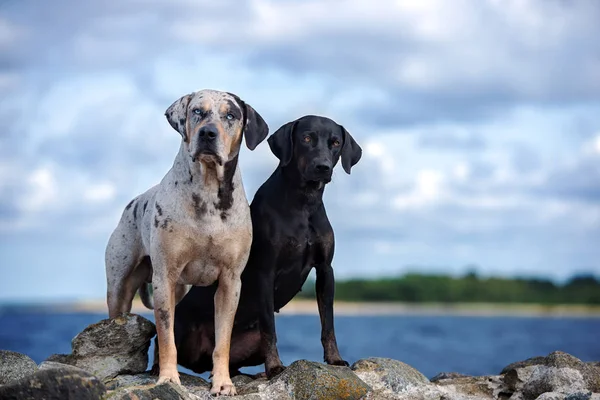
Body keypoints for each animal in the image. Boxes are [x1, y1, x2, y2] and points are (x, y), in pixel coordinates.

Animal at [164, 115, 360, 378]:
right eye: (306, 138)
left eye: (336, 142)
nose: (323, 167)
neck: (303, 203)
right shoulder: (265, 273)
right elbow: (270, 327)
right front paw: (274, 366)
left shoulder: (325, 270)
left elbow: (328, 323)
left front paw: (335, 359)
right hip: (179, 327)